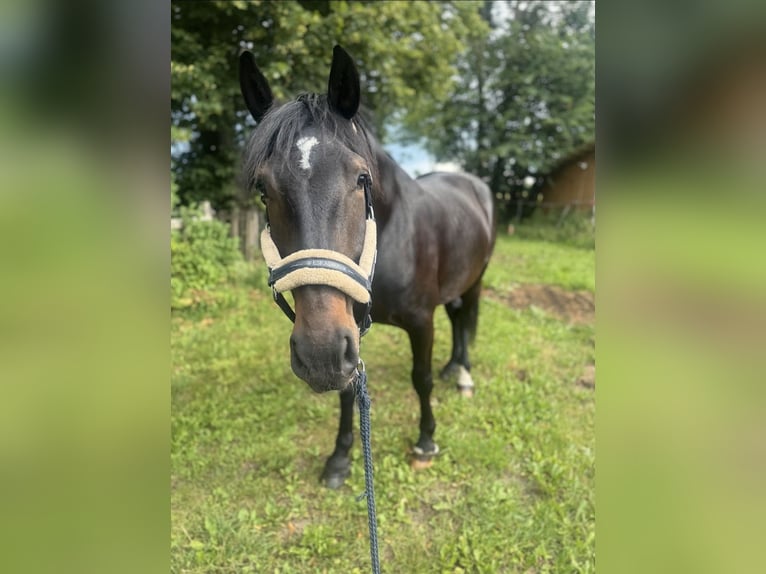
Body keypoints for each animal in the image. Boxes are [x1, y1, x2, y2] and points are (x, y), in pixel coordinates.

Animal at [239, 45, 496, 488]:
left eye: (361, 178)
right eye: (263, 188)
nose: (318, 352)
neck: (392, 238)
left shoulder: (420, 321)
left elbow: (420, 378)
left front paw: (425, 441)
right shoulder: (350, 329)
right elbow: (347, 389)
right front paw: (340, 458)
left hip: (475, 280)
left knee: (466, 319)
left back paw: (463, 375)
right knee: (458, 319)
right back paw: (453, 368)